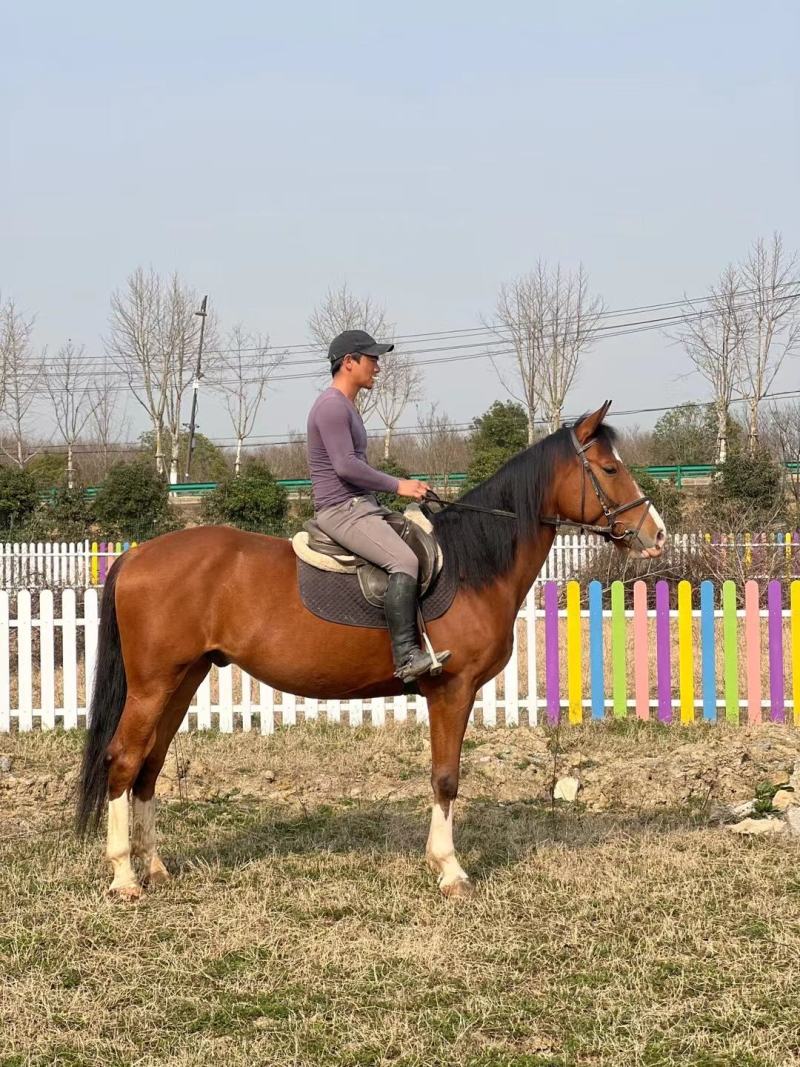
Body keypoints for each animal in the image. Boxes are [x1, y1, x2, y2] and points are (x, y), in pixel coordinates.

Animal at [77, 402, 665, 900]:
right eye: (609, 469)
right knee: (124, 760)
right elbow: (445, 777)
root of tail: (135, 556)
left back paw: (155, 868)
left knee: (150, 765)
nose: (656, 534)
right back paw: (125, 877)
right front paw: (450, 869)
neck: (470, 564)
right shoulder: (452, 691)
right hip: (153, 685)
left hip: (184, 679)